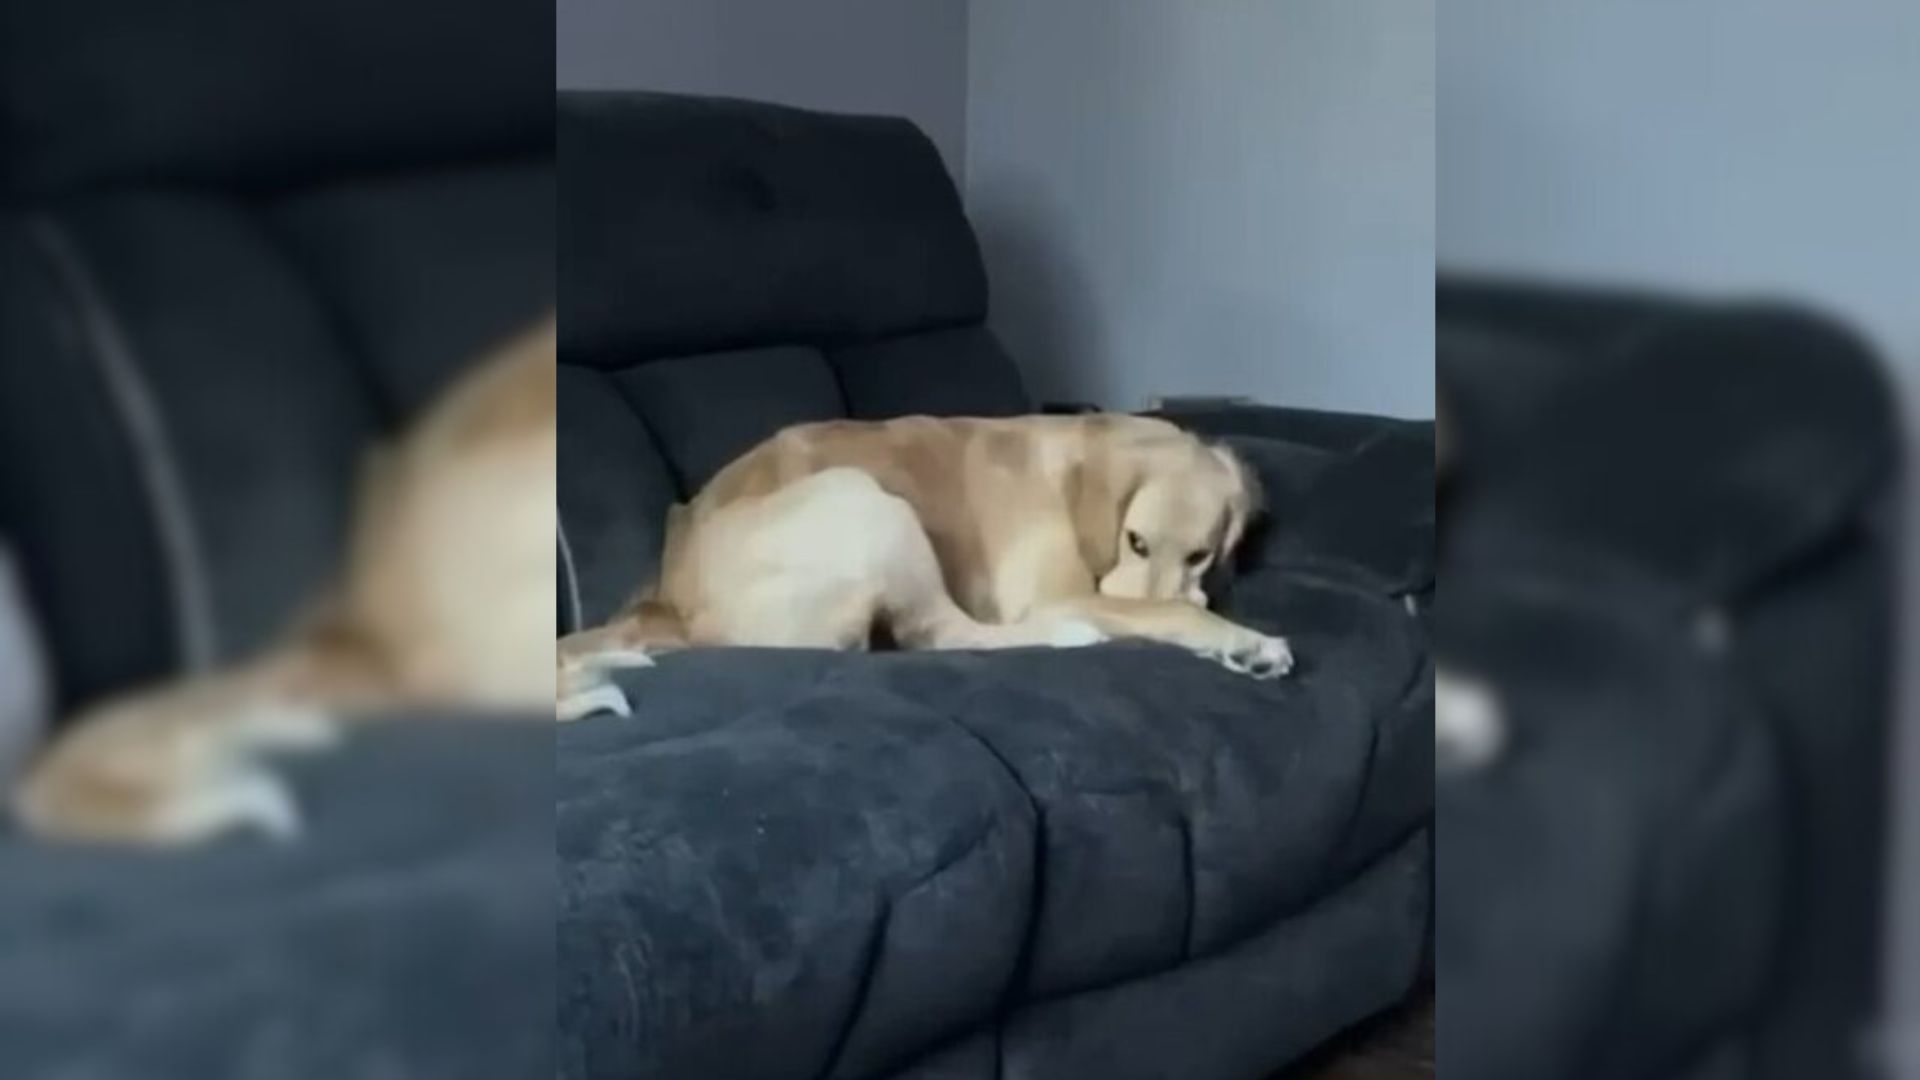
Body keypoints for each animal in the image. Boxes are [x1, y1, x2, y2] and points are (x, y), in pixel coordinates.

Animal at [560, 409, 1297, 714]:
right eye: (1136, 541)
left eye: (1201, 553)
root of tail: (674, 605)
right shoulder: (1056, 592)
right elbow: (1169, 612)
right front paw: (1247, 641)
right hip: (867, 500)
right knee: (939, 634)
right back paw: (1071, 637)